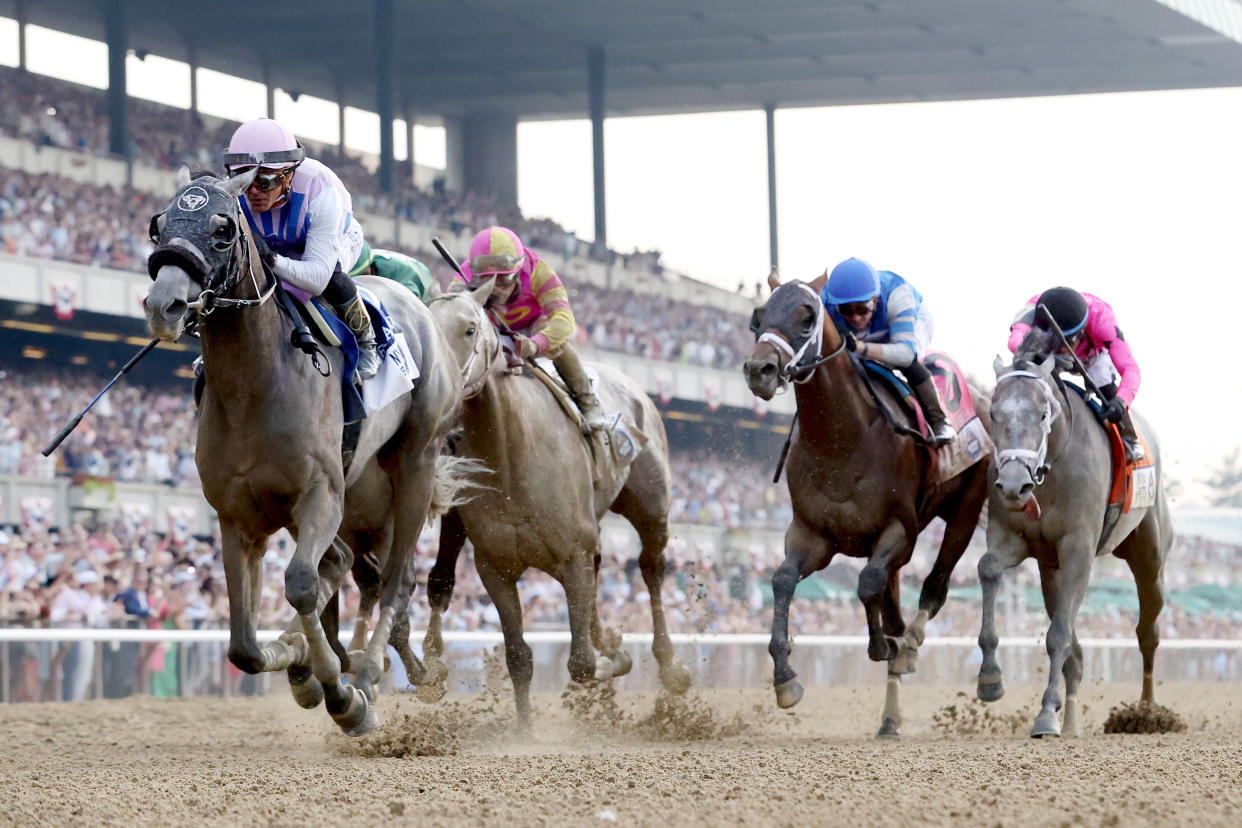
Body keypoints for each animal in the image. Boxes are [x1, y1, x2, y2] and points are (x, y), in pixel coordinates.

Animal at [140, 170, 466, 739]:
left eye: (223, 229)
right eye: (159, 225)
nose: (165, 306)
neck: (255, 384)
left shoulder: (319, 494)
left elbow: (299, 584)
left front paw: (342, 694)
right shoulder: (237, 516)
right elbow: (244, 646)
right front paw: (300, 663)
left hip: (414, 460)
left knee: (395, 578)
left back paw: (366, 673)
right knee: (342, 564)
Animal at [740, 271, 993, 739]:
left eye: (807, 316)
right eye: (758, 316)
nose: (758, 370)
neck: (842, 439)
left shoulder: (899, 533)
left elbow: (865, 582)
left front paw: (882, 646)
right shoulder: (812, 535)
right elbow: (782, 581)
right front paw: (785, 678)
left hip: (966, 509)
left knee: (935, 587)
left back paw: (909, 649)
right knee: (895, 606)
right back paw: (890, 716)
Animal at [978, 330, 1172, 739]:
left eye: (1042, 413)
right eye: (994, 413)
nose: (1014, 485)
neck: (1050, 473)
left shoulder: (1078, 550)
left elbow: (1058, 636)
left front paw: (1046, 713)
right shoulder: (1013, 539)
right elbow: (988, 568)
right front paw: (990, 679)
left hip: (1150, 556)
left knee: (1148, 630)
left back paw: (1147, 713)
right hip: (1050, 571)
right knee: (1076, 650)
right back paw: (1071, 720)